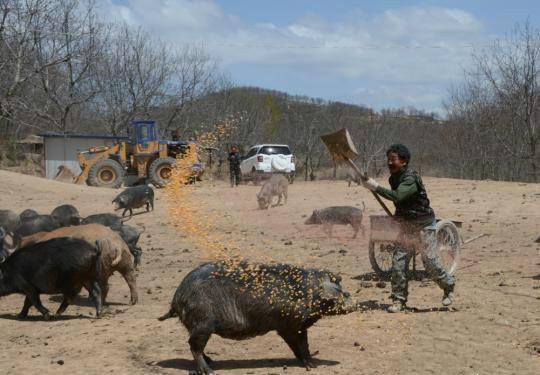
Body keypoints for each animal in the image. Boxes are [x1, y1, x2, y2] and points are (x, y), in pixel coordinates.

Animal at [158, 262, 356, 375]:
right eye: (336, 296)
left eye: (344, 291)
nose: (355, 304)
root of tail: (178, 297)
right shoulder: (290, 325)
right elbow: (300, 345)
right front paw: (312, 366)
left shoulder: (296, 326)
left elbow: (301, 345)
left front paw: (307, 363)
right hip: (203, 323)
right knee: (194, 346)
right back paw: (209, 371)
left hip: (198, 325)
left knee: (193, 344)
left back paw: (211, 361)